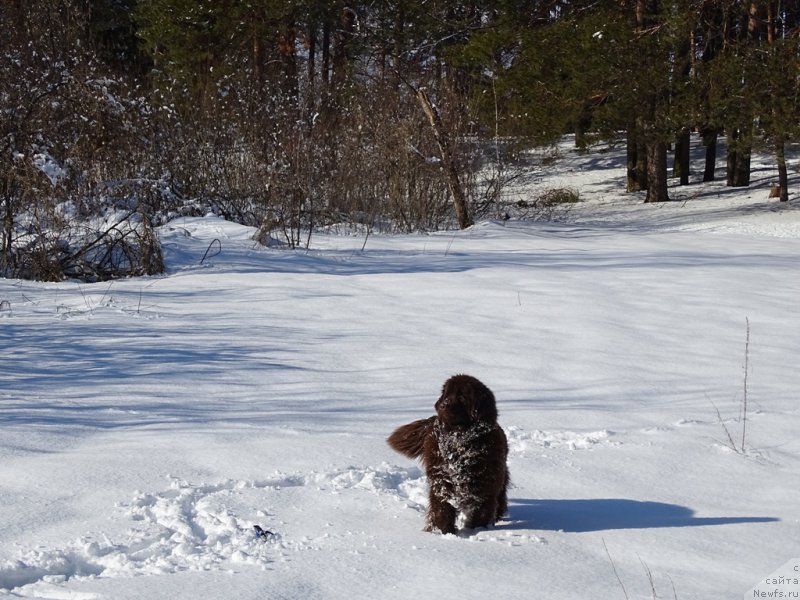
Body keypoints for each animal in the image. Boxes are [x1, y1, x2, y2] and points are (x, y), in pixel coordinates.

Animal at [386, 376, 510, 536]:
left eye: (462, 397)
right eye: (447, 394)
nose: (443, 405)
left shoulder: (485, 487)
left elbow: (481, 513)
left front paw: (478, 530)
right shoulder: (441, 482)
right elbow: (441, 510)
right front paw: (441, 532)